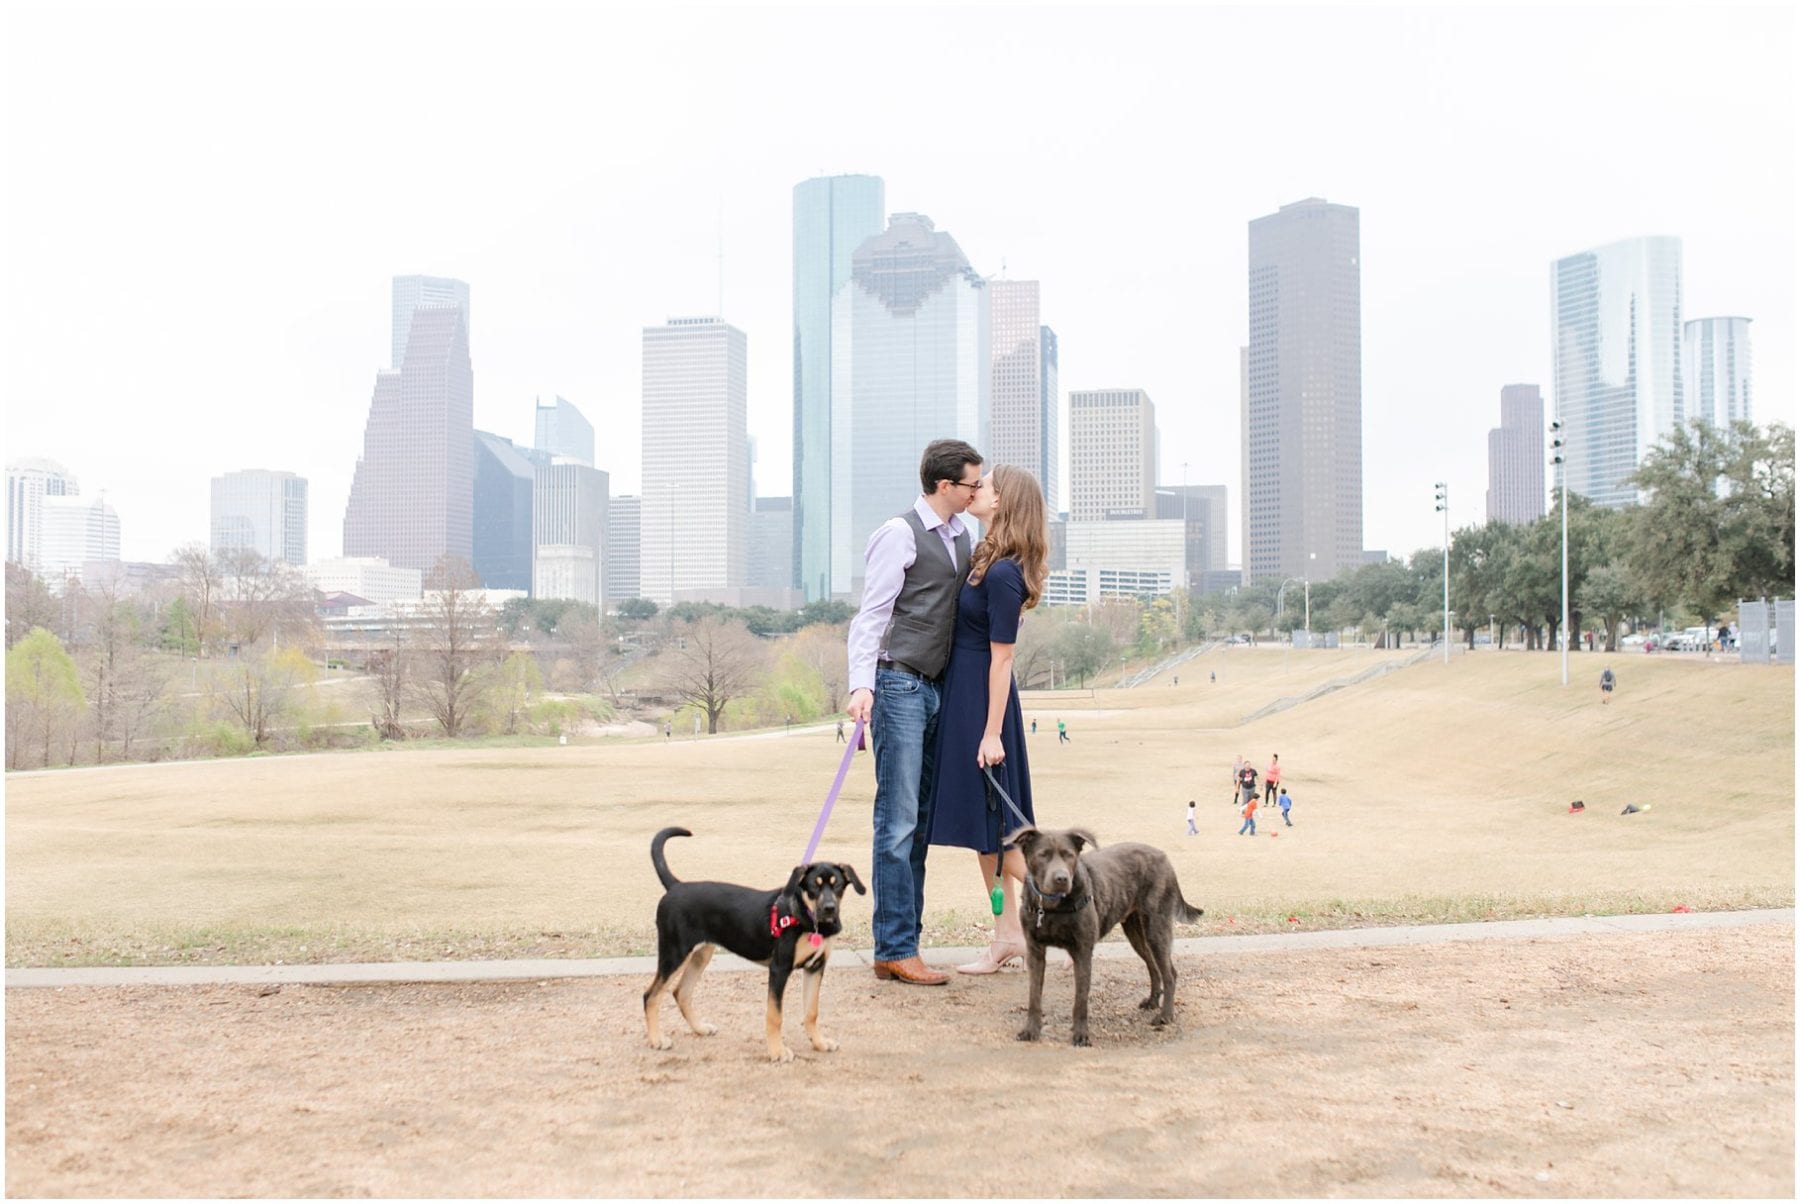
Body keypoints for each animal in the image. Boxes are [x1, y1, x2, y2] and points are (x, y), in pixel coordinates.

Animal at [644, 827, 867, 1058]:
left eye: (837, 884)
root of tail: (675, 886)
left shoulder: (815, 968)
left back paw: (700, 1028)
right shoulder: (779, 969)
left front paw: (820, 1043)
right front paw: (777, 1051)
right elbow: (775, 1015)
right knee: (651, 996)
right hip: (675, 953)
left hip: (701, 954)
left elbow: (811, 1012)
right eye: (814, 885)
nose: (829, 908)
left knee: (681, 993)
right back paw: (657, 1039)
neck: (808, 919)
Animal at [1015, 827, 1209, 1043]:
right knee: (1153, 967)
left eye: (1069, 855)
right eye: (1043, 855)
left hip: (1156, 930)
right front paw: (1031, 1031)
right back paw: (1152, 1001)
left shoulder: (1082, 952)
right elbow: (1034, 997)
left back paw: (1165, 1015)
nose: (1061, 879)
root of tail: (1164, 857)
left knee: (1170, 974)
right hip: (1136, 933)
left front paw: (1081, 1034)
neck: (1051, 908)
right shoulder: (1035, 952)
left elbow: (1080, 999)